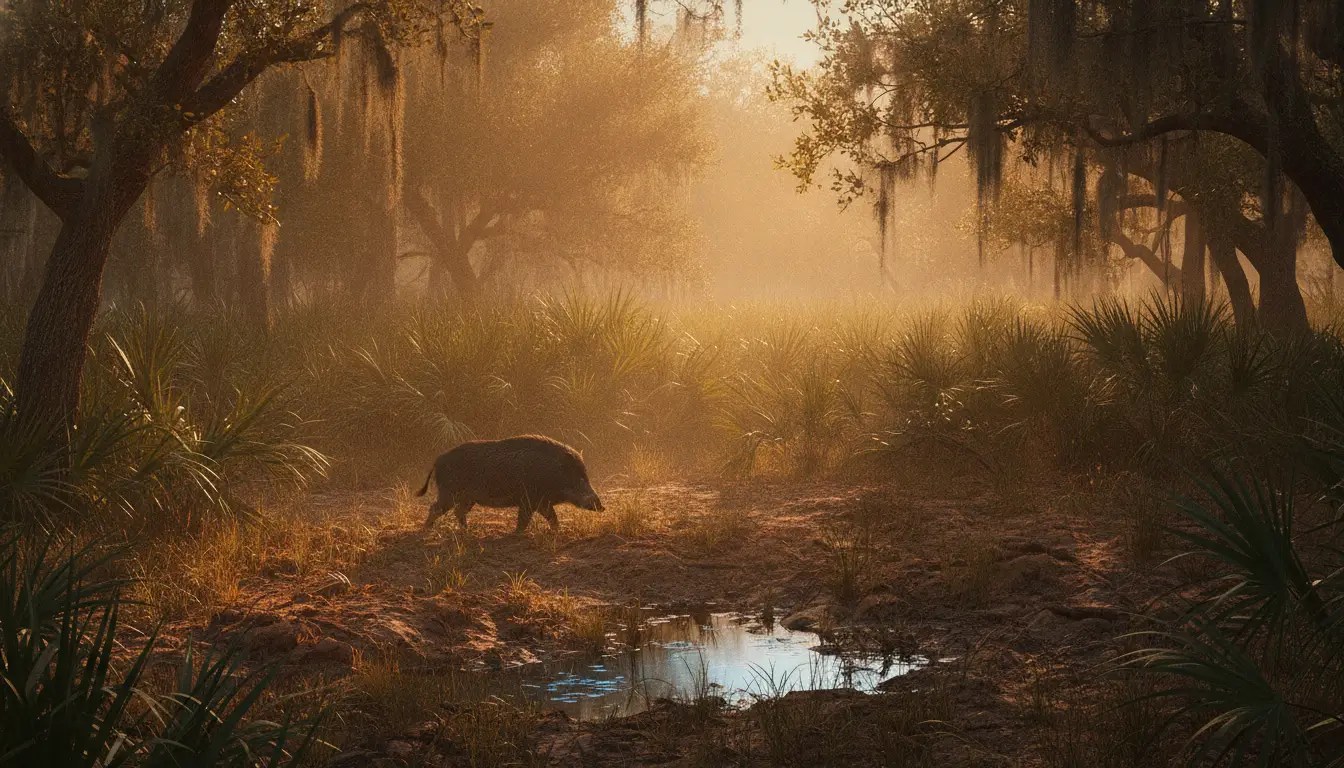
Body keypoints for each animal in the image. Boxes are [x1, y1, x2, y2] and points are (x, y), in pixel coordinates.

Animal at [414, 435, 604, 532]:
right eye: (580, 478)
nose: (602, 507)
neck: (554, 473)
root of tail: (438, 460)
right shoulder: (531, 500)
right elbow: (528, 519)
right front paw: (518, 534)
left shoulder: (540, 502)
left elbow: (551, 517)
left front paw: (558, 532)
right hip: (449, 493)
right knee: (435, 508)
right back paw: (427, 530)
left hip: (467, 499)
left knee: (458, 511)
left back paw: (466, 532)